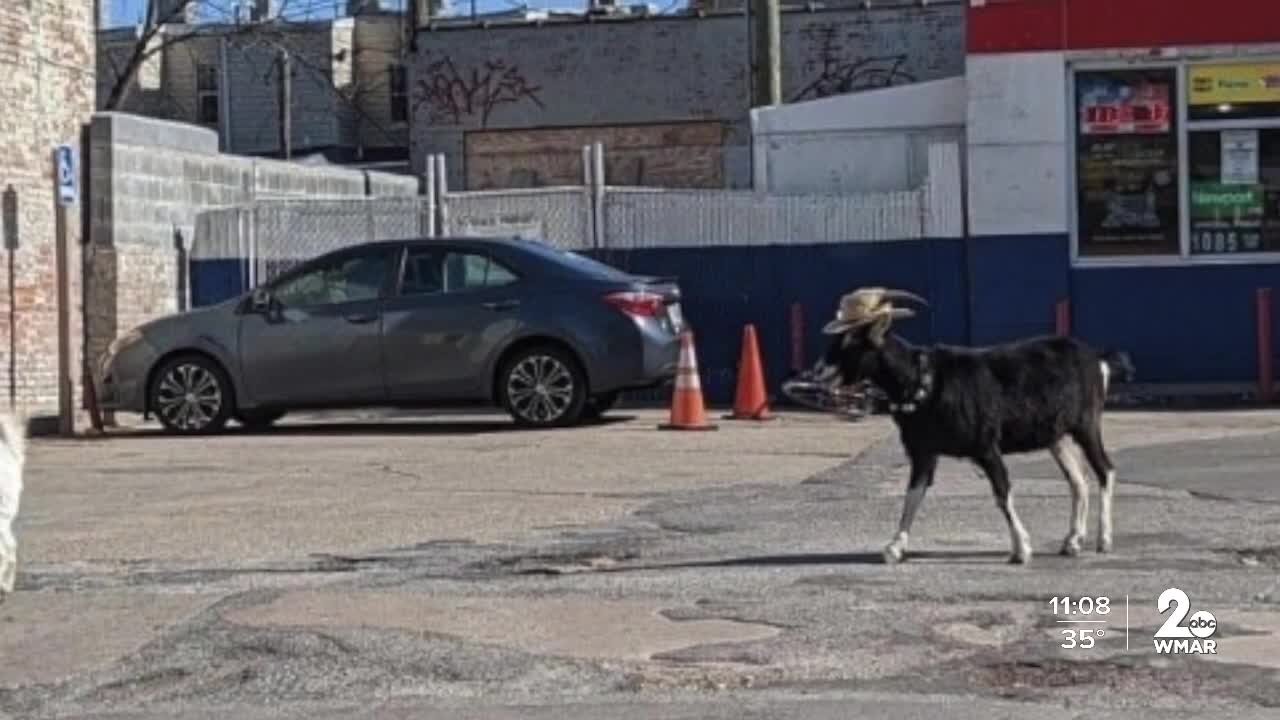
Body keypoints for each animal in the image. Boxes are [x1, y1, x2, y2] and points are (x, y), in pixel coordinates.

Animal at [814, 288, 1136, 563]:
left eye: (852, 341)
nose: (818, 371)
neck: (924, 382)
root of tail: (1096, 358)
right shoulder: (923, 452)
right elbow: (912, 496)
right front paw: (894, 547)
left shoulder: (986, 447)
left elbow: (1002, 492)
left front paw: (1021, 549)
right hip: (1056, 437)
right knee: (1078, 481)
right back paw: (1072, 542)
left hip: (1086, 424)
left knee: (1105, 470)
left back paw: (1103, 540)